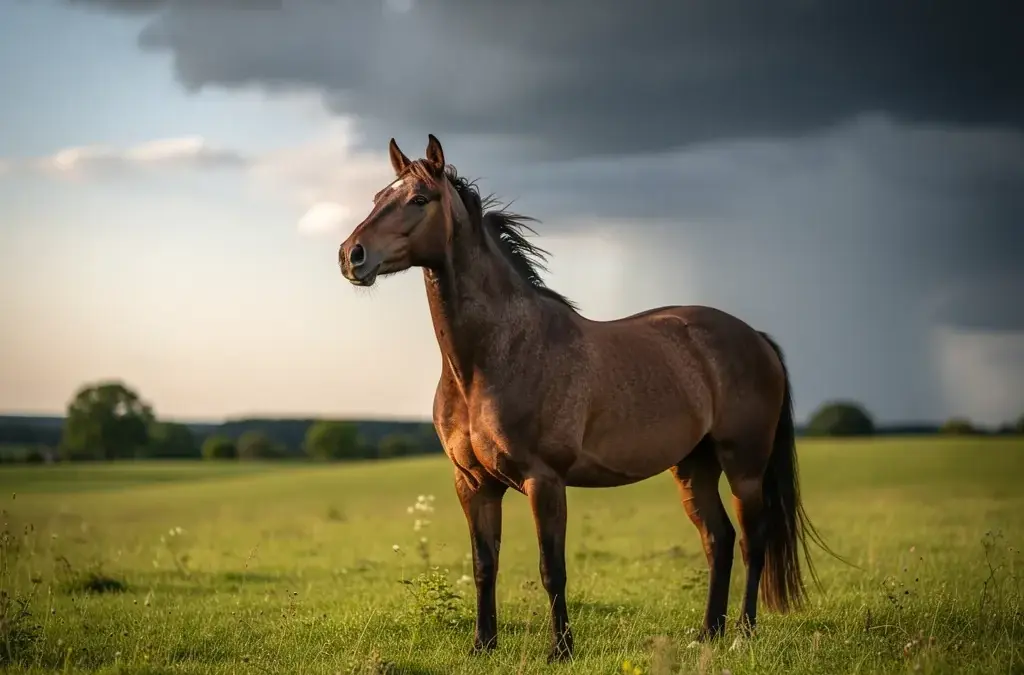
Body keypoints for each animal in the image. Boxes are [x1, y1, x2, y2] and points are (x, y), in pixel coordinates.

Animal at [337, 134, 833, 662]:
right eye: (377, 197)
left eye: (419, 199)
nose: (352, 255)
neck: (489, 359)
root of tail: (755, 337)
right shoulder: (472, 484)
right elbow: (484, 566)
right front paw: (482, 646)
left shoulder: (544, 481)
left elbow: (551, 568)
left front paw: (560, 650)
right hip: (693, 467)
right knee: (718, 539)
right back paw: (708, 634)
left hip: (744, 467)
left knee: (752, 542)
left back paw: (742, 633)